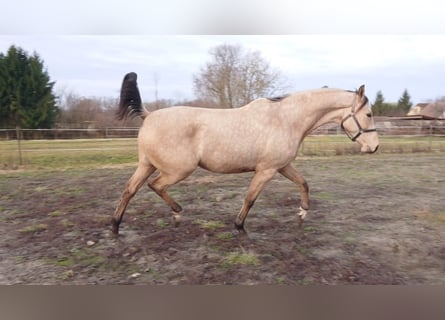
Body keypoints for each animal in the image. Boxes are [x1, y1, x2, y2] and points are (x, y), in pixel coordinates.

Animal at [111, 72, 378, 235]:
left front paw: (302, 213)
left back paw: (115, 226)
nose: (374, 147)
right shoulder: (266, 170)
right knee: (154, 186)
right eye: (368, 114)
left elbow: (303, 183)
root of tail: (148, 116)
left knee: (129, 190)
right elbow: (250, 198)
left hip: (146, 164)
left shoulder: (282, 166)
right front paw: (239, 227)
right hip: (178, 170)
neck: (286, 119)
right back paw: (176, 213)